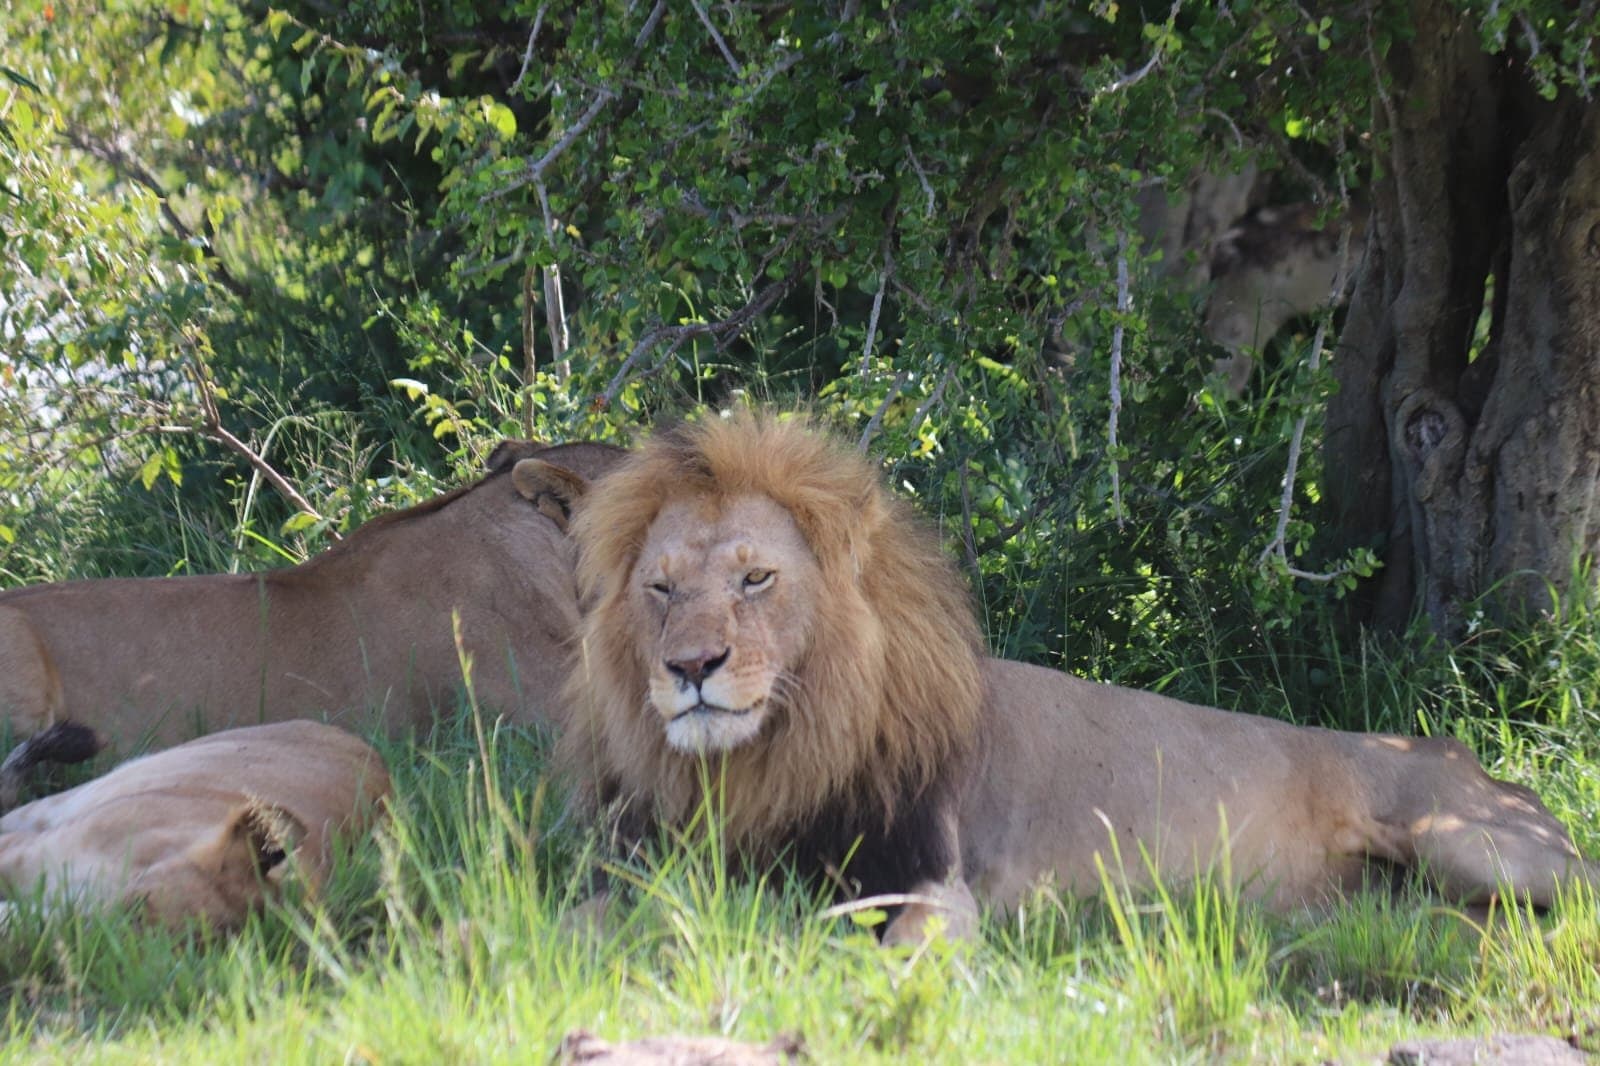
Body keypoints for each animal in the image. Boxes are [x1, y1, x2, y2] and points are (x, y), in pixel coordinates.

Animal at [548, 413, 1599, 945]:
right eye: (660, 589)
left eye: (756, 579)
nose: (690, 667)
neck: (761, 764)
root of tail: (1464, 755)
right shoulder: (655, 868)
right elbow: (571, 918)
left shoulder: (934, 886)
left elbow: (891, 962)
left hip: (1474, 842)